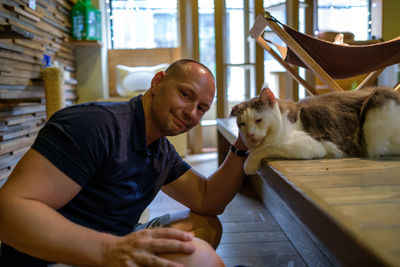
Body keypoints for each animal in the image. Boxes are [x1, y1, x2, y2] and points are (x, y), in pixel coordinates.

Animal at [230, 86, 400, 176]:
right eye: (242, 124)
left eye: (258, 120)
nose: (250, 134)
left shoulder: (310, 145)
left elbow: (265, 148)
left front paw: (249, 164)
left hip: (375, 111)